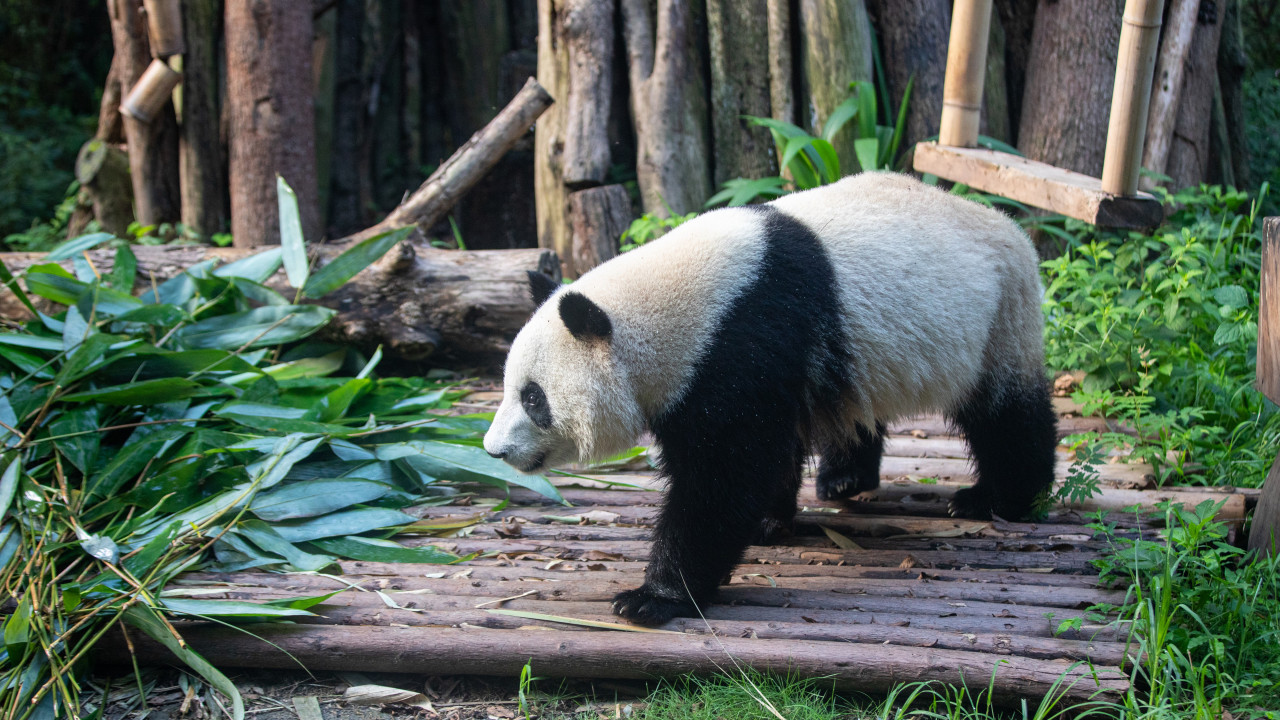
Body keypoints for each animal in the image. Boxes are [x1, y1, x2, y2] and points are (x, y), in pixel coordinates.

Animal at [483, 172, 1054, 622]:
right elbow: (766, 450)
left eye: (533, 398)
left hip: (998, 315)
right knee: (857, 408)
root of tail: (1007, 226)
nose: (494, 450)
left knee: (1006, 413)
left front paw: (653, 597)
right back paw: (844, 479)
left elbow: (725, 472)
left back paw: (999, 498)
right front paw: (766, 522)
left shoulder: (743, 336)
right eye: (510, 387)